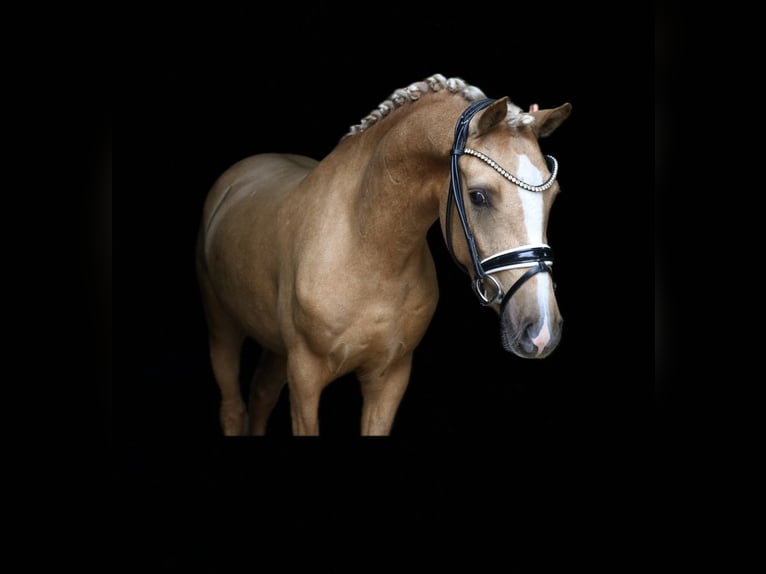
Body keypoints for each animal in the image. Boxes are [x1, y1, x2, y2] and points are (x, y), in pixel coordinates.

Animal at [196, 74, 571, 436]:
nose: (541, 331)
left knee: (261, 396)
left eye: (553, 195)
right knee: (233, 408)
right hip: (223, 327)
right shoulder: (304, 376)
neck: (367, 253)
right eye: (479, 196)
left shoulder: (390, 376)